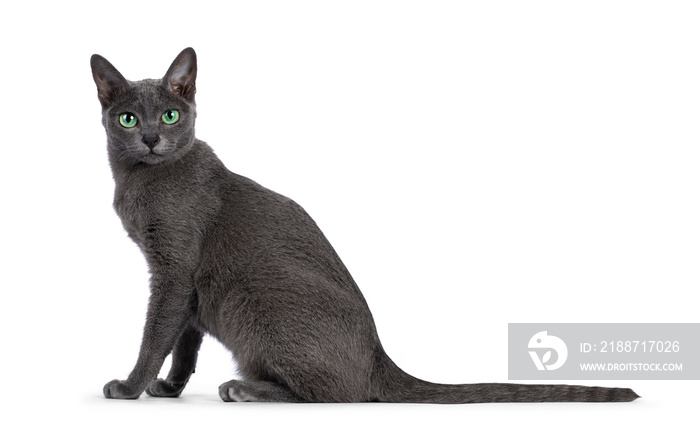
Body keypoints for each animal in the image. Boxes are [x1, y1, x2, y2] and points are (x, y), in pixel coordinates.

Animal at [91, 48, 640, 404]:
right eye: (127, 118)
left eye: (169, 114)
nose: (151, 139)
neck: (138, 181)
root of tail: (380, 356)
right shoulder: (186, 287)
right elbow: (184, 343)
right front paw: (168, 388)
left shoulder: (174, 270)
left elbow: (156, 335)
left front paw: (130, 387)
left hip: (253, 295)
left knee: (341, 393)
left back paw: (244, 388)